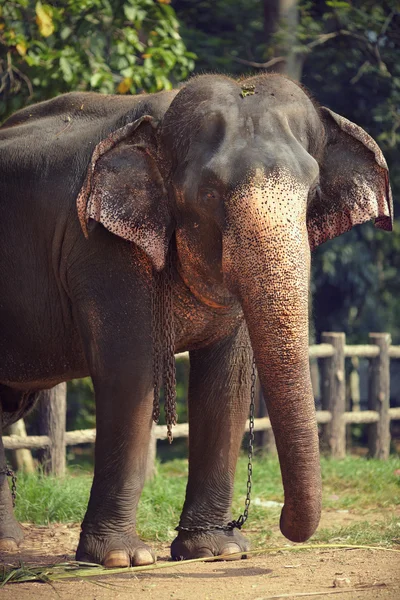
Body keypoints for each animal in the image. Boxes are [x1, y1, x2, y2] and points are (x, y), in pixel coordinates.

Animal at [0, 72, 394, 564]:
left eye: (311, 193)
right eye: (209, 194)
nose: (276, 519)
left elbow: (227, 379)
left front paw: (216, 550)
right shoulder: (99, 248)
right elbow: (128, 373)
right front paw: (121, 559)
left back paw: (7, 541)